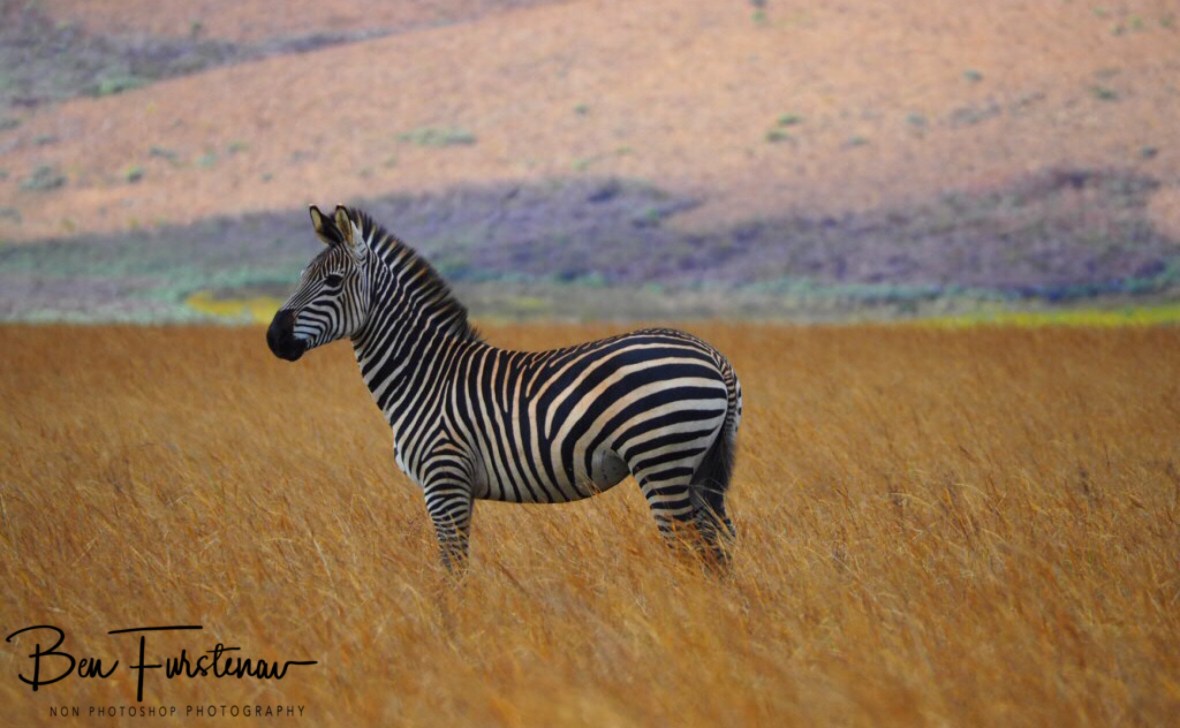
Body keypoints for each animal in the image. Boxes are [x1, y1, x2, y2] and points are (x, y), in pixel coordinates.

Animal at [267, 205, 742, 569]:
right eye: (301, 275)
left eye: (332, 282)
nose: (273, 338)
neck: (423, 375)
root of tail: (713, 356)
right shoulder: (455, 486)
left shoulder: (444, 479)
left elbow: (452, 569)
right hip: (698, 468)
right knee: (719, 547)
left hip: (661, 460)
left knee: (692, 549)